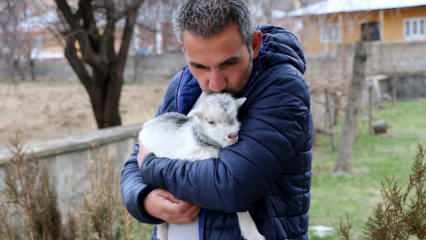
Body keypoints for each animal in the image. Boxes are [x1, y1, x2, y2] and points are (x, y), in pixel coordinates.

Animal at [139, 92, 262, 240]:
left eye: (235, 117)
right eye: (211, 122)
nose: (232, 136)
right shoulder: (189, 156)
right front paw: (253, 233)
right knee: (161, 224)